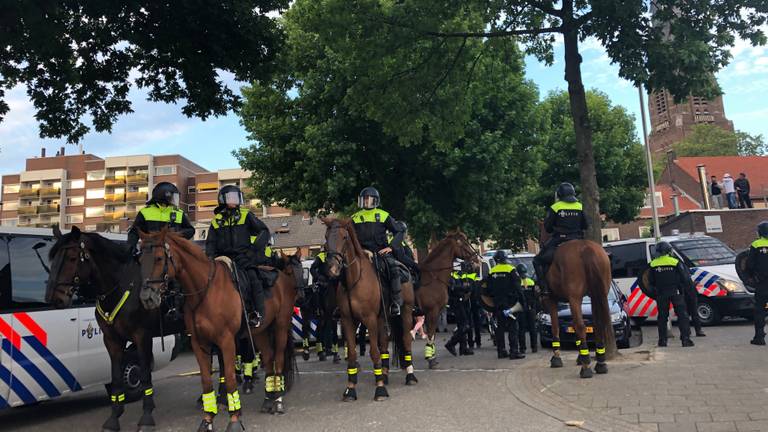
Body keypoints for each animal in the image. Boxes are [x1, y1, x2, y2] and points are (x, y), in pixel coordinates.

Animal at [46, 226, 164, 432]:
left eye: (72, 258)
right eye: (53, 259)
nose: (54, 298)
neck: (119, 288)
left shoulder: (142, 336)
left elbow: (144, 374)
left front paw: (147, 416)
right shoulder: (111, 340)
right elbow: (116, 377)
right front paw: (114, 417)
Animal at [138, 228, 296, 430]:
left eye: (158, 258)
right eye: (140, 259)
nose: (146, 297)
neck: (205, 292)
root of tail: (283, 276)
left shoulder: (226, 341)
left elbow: (229, 378)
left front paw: (234, 420)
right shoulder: (200, 344)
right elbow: (206, 382)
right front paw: (207, 420)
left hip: (280, 326)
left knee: (278, 359)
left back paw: (278, 401)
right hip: (260, 332)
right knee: (268, 358)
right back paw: (268, 399)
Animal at [416, 230, 476, 368]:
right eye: (464, 243)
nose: (476, 261)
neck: (434, 278)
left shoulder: (436, 312)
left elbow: (433, 334)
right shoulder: (432, 311)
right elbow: (431, 333)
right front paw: (430, 359)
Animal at [540, 228, 612, 380]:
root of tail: (585, 248)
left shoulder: (552, 299)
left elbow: (555, 326)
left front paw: (556, 358)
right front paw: (579, 356)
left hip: (575, 297)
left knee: (580, 326)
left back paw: (586, 368)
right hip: (599, 294)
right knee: (598, 324)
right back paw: (600, 363)